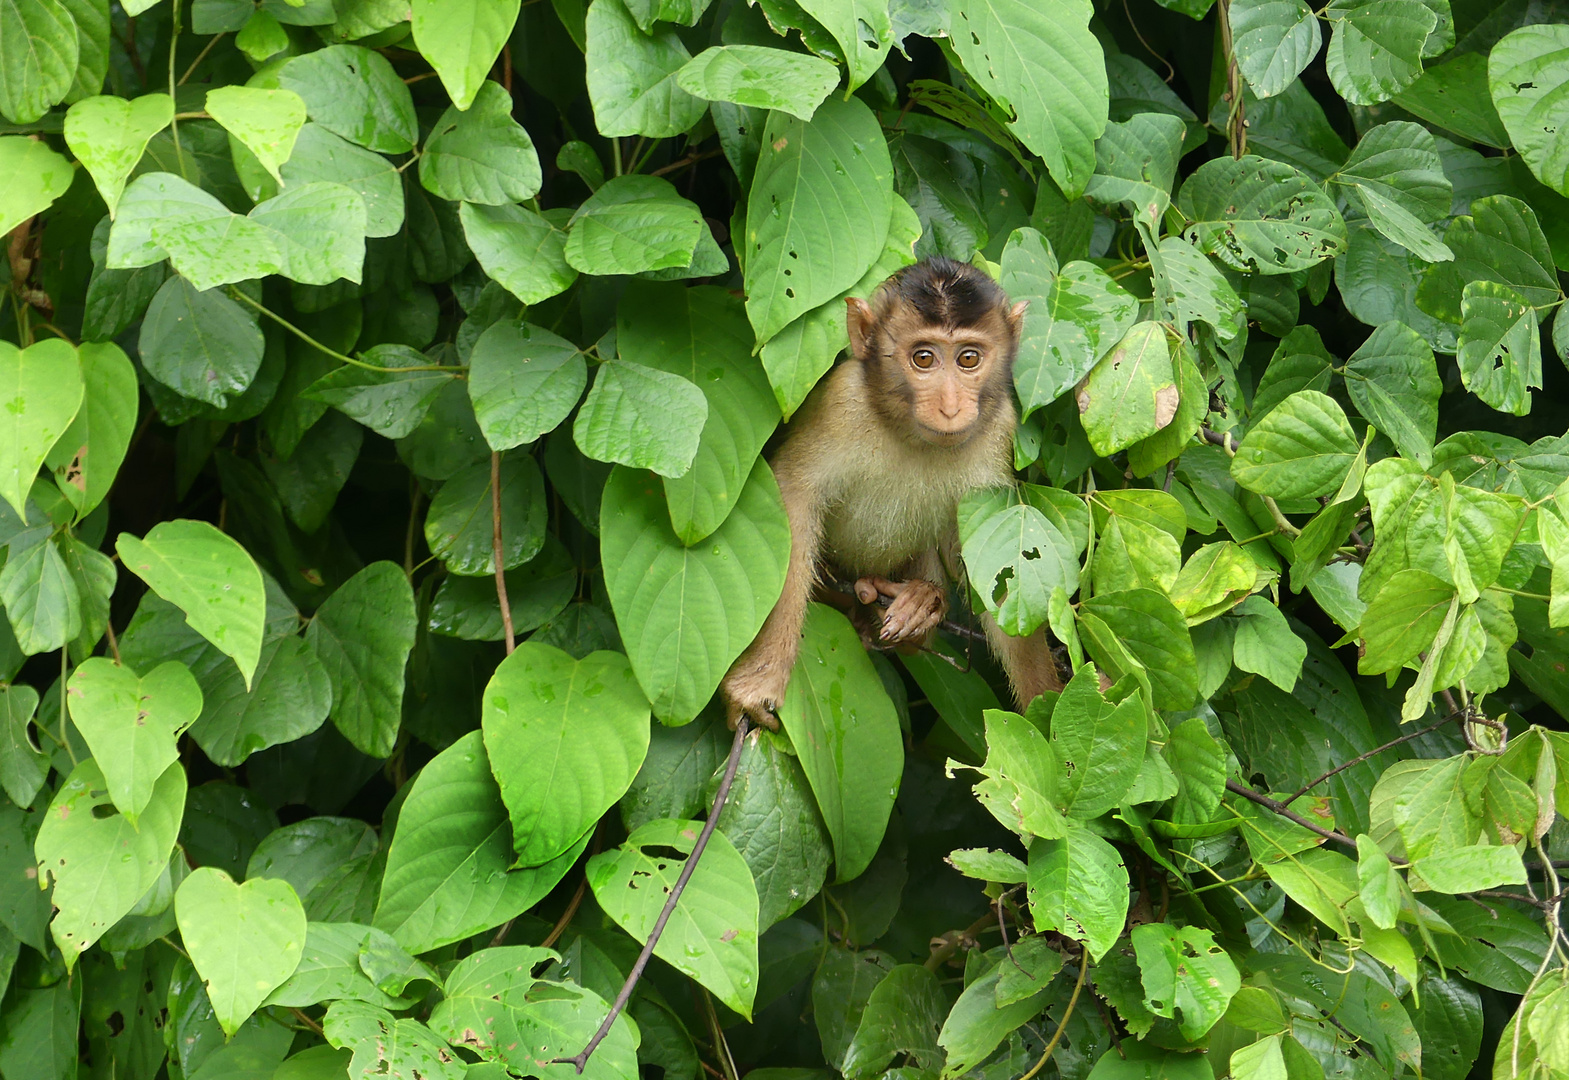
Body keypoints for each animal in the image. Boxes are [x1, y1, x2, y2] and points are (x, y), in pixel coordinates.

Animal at [721, 257, 1066, 728]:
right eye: (923, 358)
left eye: (969, 358)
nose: (951, 407)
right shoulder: (841, 403)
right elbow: (794, 497)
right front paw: (760, 682)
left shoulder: (999, 429)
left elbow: (992, 565)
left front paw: (1046, 706)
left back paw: (921, 603)